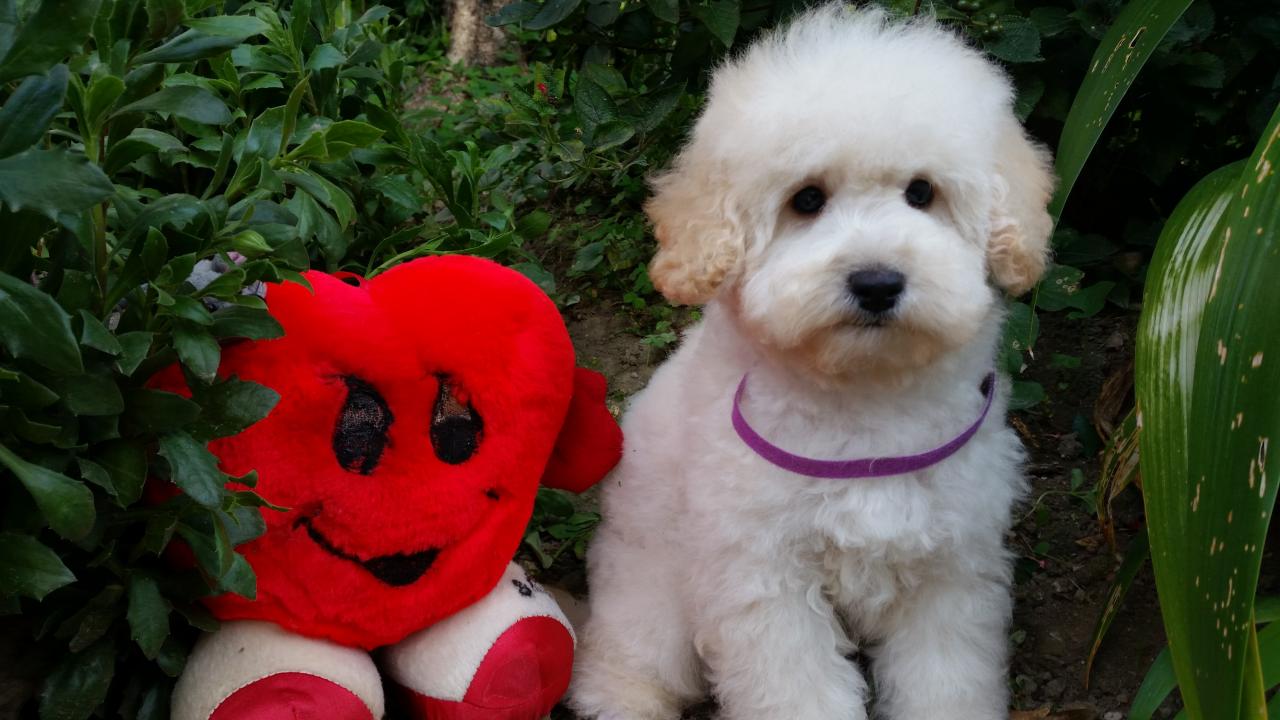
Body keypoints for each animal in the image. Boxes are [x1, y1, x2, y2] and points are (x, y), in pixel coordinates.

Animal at [568, 5, 1049, 717]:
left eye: (922, 193)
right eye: (808, 200)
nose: (877, 282)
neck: (864, 399)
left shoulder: (951, 568)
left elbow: (945, 675)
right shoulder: (763, 576)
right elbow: (795, 684)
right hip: (650, 582)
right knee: (630, 659)